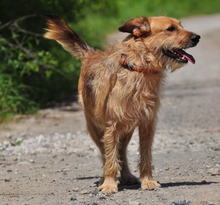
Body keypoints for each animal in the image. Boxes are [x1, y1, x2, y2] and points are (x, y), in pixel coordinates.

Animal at [44, 14, 199, 194]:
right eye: (170, 29)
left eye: (181, 26)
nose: (197, 37)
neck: (139, 69)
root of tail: (91, 54)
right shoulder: (111, 126)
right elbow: (111, 158)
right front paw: (109, 184)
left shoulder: (147, 124)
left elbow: (145, 156)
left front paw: (147, 181)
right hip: (96, 128)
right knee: (106, 154)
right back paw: (104, 179)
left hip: (126, 130)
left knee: (122, 152)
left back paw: (126, 177)